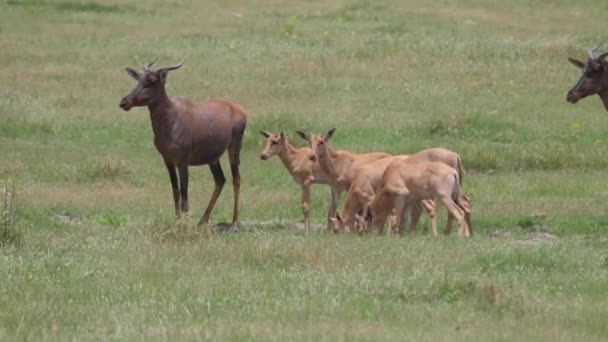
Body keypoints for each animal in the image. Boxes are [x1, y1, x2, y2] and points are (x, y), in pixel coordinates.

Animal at [117, 57, 246, 231]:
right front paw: (178, 221)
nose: (124, 102)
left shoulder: (183, 162)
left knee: (236, 179)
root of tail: (238, 108)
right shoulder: (168, 161)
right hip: (213, 158)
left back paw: (234, 224)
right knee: (220, 180)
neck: (172, 117)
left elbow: (185, 193)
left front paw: (185, 224)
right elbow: (176, 191)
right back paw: (202, 221)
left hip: (234, 147)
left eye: (152, 81)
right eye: (138, 79)